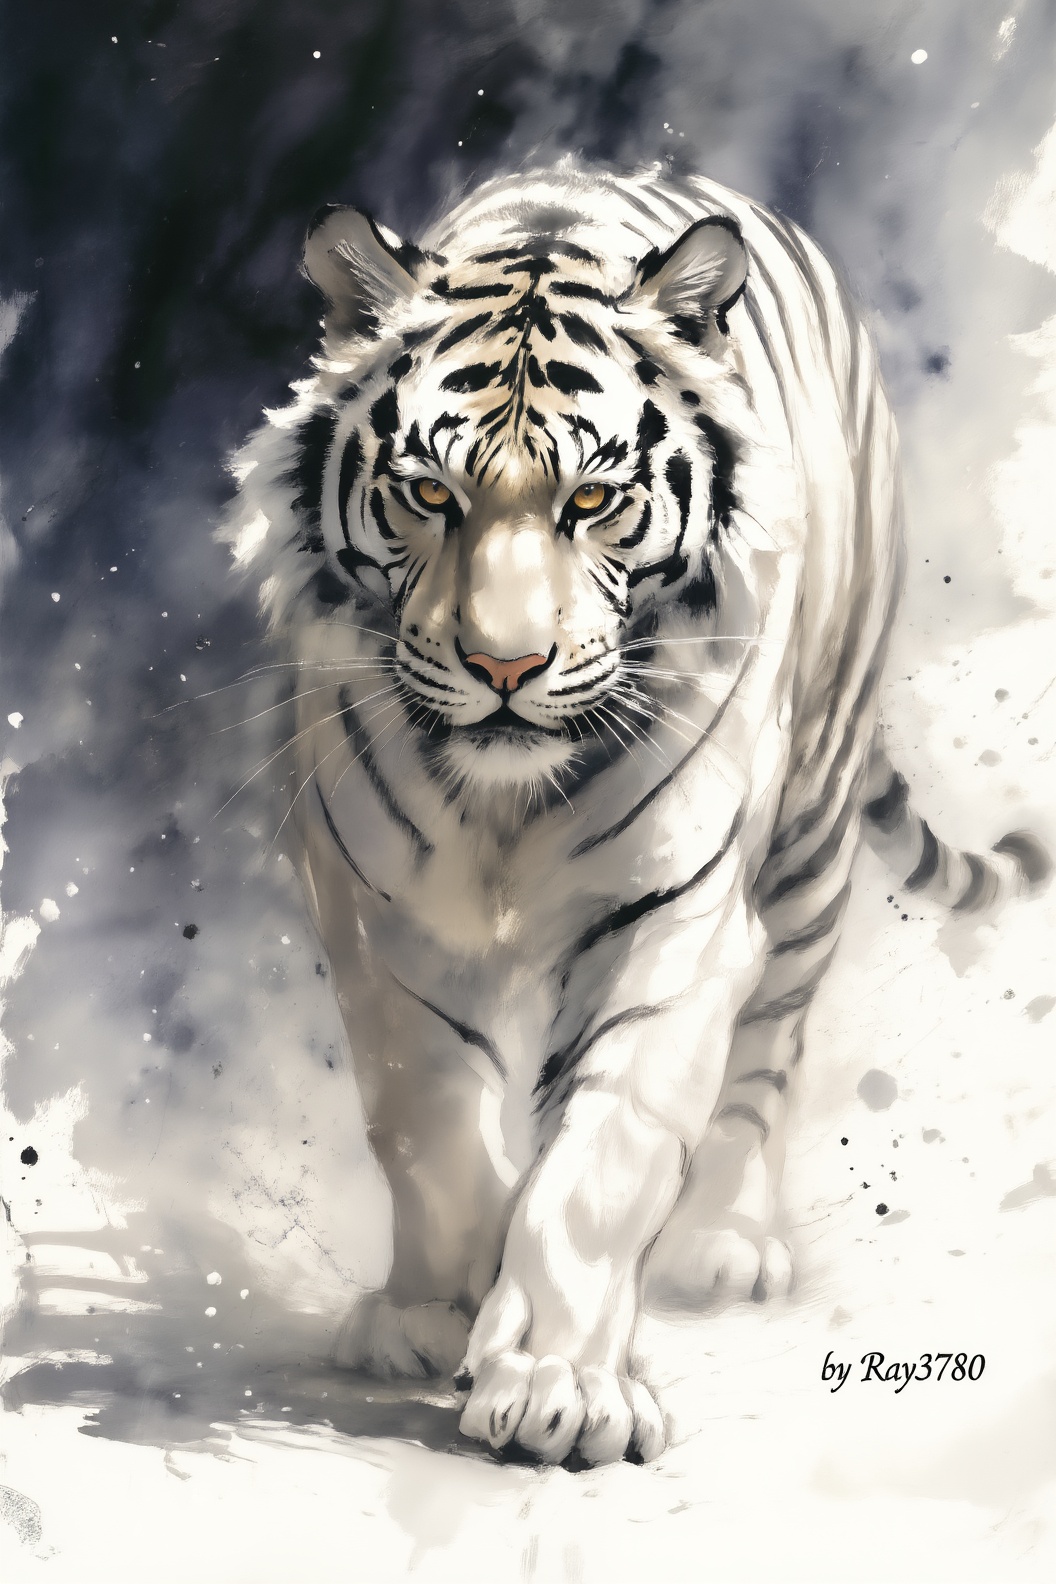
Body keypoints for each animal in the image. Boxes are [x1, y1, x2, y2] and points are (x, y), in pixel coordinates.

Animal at [222, 162, 1048, 1467]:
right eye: (427, 493)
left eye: (595, 498)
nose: (506, 666)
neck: (503, 805)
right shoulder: (377, 910)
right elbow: (428, 1118)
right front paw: (444, 1306)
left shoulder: (675, 916)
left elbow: (604, 1155)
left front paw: (557, 1382)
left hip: (809, 828)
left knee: (772, 1042)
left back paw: (724, 1243)